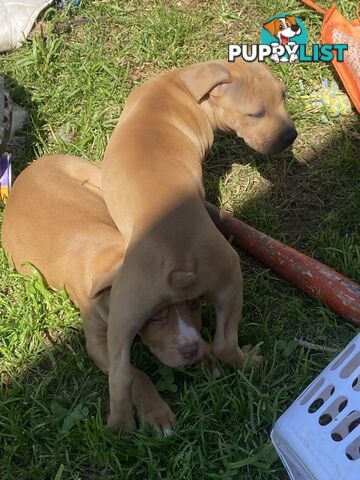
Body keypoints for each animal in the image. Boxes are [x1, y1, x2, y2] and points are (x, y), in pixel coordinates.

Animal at [0, 155, 211, 436]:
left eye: (194, 304)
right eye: (154, 317)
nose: (191, 349)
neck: (113, 257)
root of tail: (33, 164)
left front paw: (212, 354)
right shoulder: (99, 344)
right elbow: (135, 375)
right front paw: (156, 413)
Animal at [100, 58, 296, 434]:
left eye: (284, 96)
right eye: (256, 113)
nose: (291, 136)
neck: (182, 84)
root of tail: (176, 261)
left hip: (122, 315)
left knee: (120, 378)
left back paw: (120, 429)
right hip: (231, 276)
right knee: (223, 344)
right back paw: (250, 361)